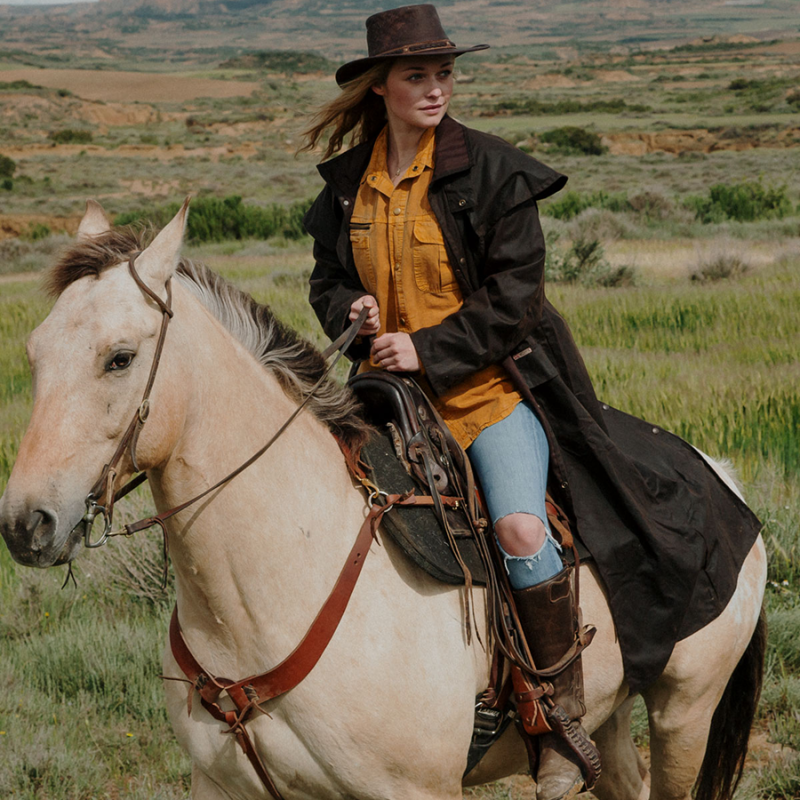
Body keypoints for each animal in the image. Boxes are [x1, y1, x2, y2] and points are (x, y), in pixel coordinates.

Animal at [0, 202, 764, 800]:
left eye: (120, 357)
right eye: (33, 353)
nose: (25, 523)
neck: (272, 589)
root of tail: (717, 473)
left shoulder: (415, 790)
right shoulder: (221, 783)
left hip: (684, 713)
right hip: (609, 718)